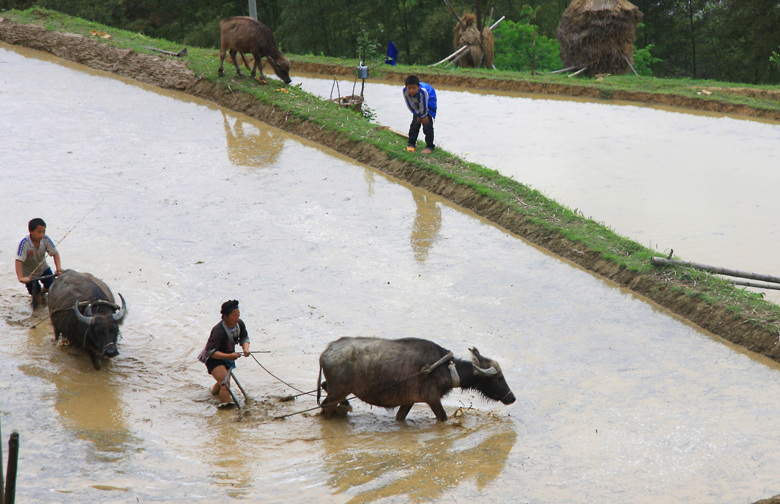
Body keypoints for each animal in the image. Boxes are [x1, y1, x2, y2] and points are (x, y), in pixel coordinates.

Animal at [316, 336, 516, 424]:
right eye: (500, 378)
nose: (512, 397)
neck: (444, 368)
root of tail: (326, 352)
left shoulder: (409, 401)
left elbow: (400, 417)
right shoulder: (432, 399)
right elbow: (443, 417)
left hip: (337, 389)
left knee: (324, 387)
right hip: (337, 391)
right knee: (325, 407)